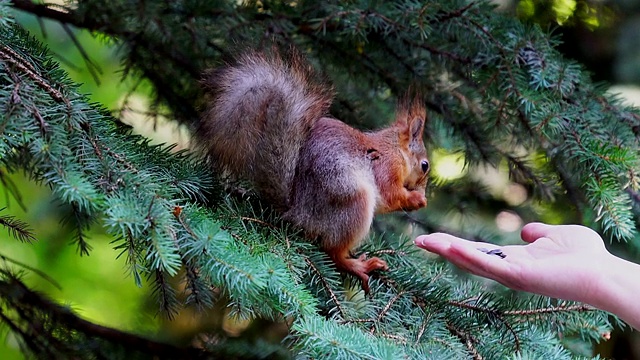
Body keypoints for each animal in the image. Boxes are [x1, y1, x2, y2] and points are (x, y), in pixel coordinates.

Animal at [198, 50, 430, 292]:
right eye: (425, 165)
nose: (424, 190)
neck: (394, 149)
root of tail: (299, 213)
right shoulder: (386, 167)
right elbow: (390, 195)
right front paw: (416, 199)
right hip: (353, 202)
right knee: (333, 252)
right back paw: (357, 266)